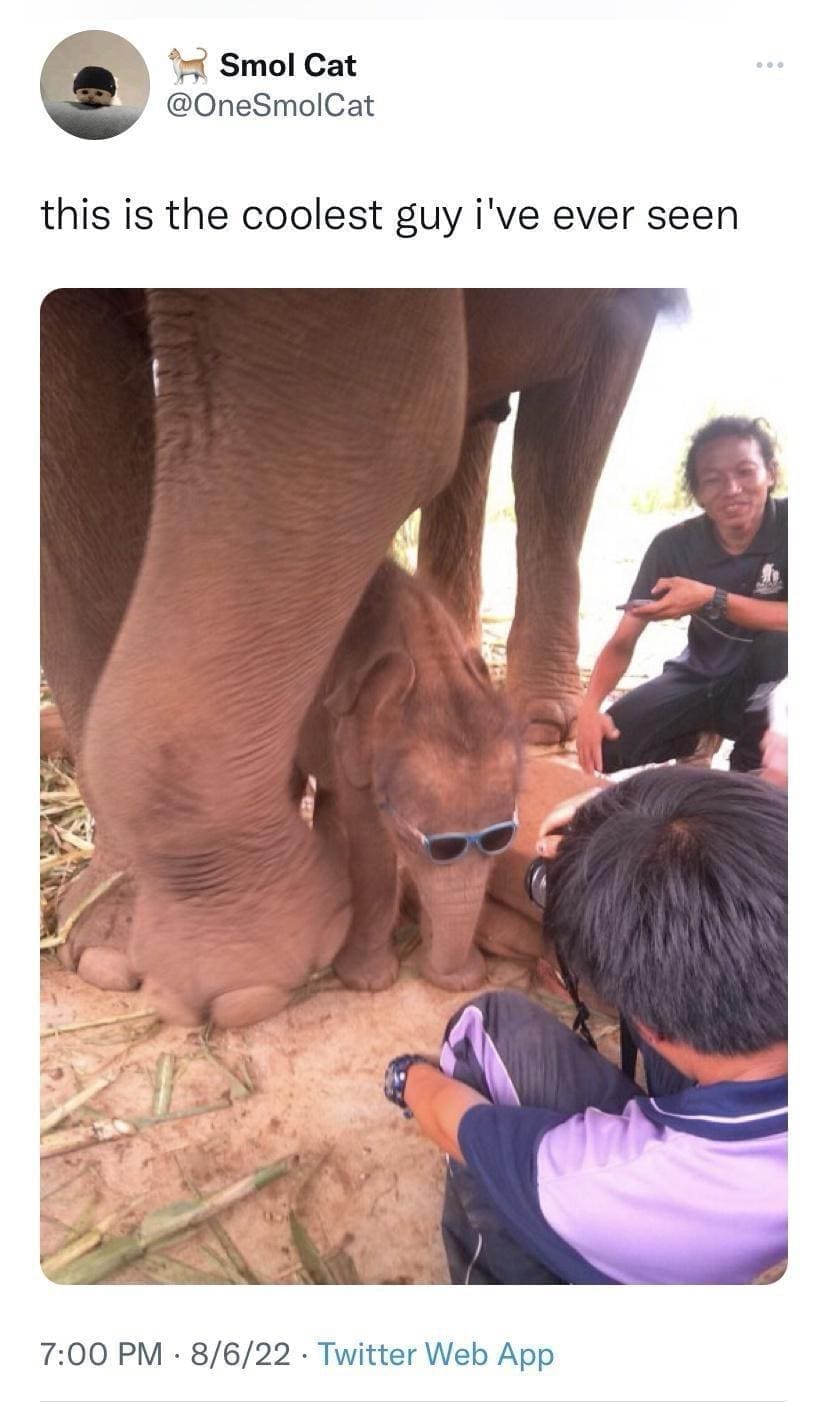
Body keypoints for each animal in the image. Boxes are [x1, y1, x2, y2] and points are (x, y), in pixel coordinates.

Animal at [296, 559, 521, 995]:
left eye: (501, 839)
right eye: (410, 839)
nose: (465, 981)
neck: (432, 661)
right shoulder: (350, 729)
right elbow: (370, 838)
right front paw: (366, 982)